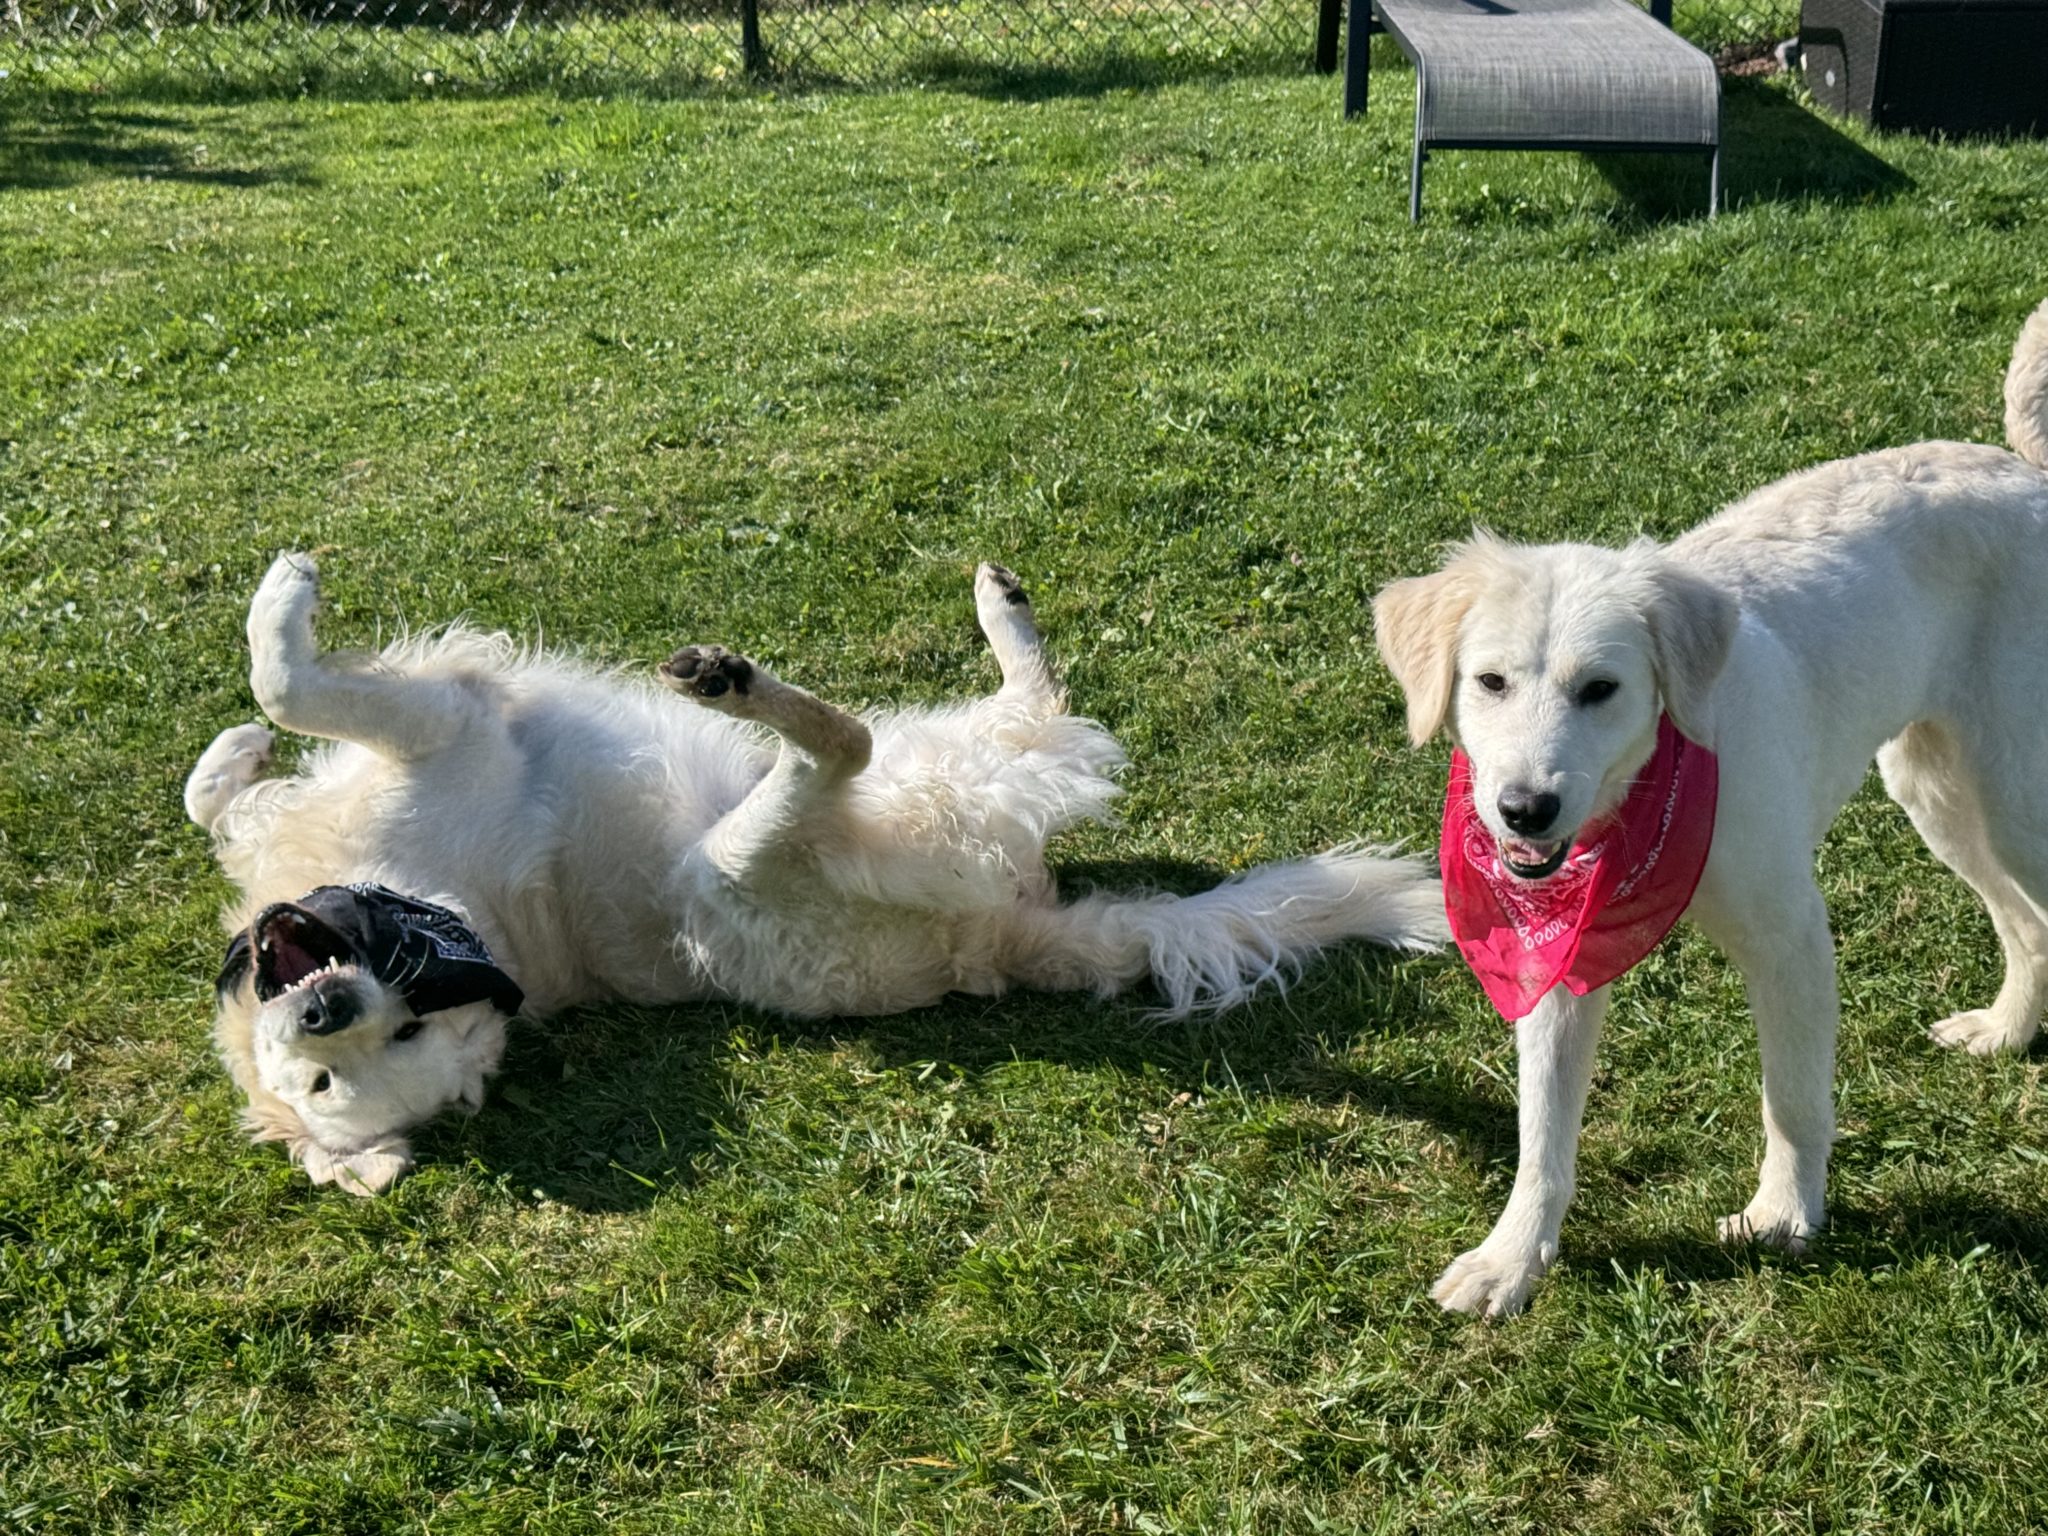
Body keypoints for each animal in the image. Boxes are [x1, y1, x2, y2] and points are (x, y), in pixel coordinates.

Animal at [190, 554, 1445, 1194]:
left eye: (394, 1039)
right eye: (333, 1078)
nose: (322, 1009)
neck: (443, 913)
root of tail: (1002, 944)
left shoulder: (433, 726)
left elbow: (256, 726)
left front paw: (241, 734)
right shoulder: (444, 722)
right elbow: (282, 684)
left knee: (983, 705)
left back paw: (981, 606)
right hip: (765, 855)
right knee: (859, 740)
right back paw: (743, 683)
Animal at [1373, 297, 2048, 1317]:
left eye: (1601, 690)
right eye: (1489, 682)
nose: (1525, 811)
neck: (1648, 786)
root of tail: (2028, 473)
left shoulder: (1791, 935)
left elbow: (1794, 1098)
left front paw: (1784, 1216)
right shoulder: (1558, 953)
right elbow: (1541, 1139)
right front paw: (1513, 1259)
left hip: (2012, 790)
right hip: (1938, 790)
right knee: (2026, 922)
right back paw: (2007, 1031)